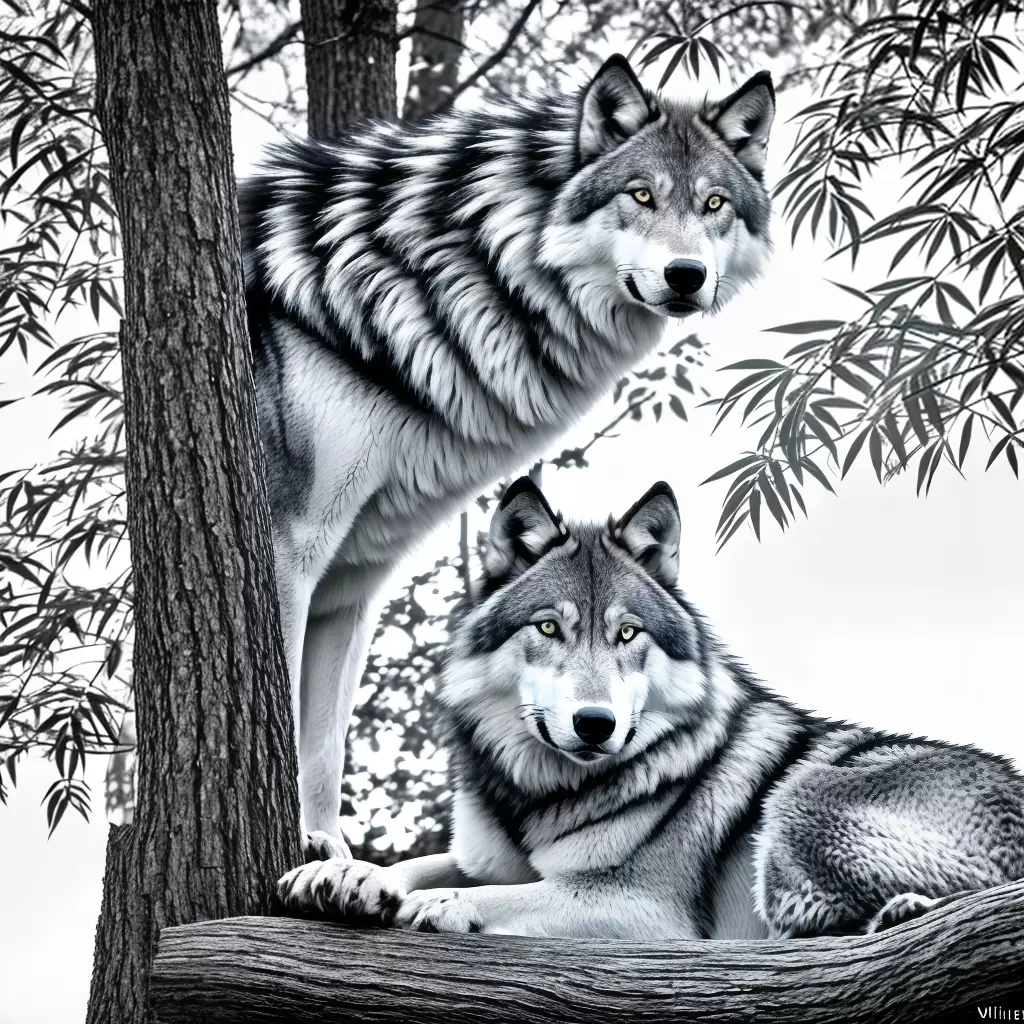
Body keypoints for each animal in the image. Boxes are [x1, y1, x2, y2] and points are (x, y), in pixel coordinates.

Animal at [240, 55, 776, 850]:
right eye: (641, 194)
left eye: (714, 204)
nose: (687, 276)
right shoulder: (290, 550)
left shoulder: (351, 582)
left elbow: (323, 744)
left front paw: (322, 855)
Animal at [277, 478, 1024, 938]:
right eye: (549, 628)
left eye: (628, 634)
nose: (595, 724)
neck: (539, 797)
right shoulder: (487, 857)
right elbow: (422, 864)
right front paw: (346, 873)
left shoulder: (640, 908)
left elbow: (497, 894)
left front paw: (438, 902)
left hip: (800, 798)